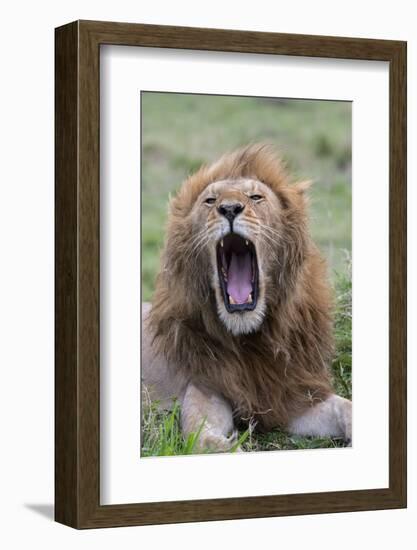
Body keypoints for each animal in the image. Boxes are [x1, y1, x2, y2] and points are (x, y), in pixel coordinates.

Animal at [142, 143, 352, 452]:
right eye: (210, 200)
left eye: (256, 197)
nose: (229, 208)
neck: (251, 340)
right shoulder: (203, 390)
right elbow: (211, 442)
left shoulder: (289, 396)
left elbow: (346, 406)